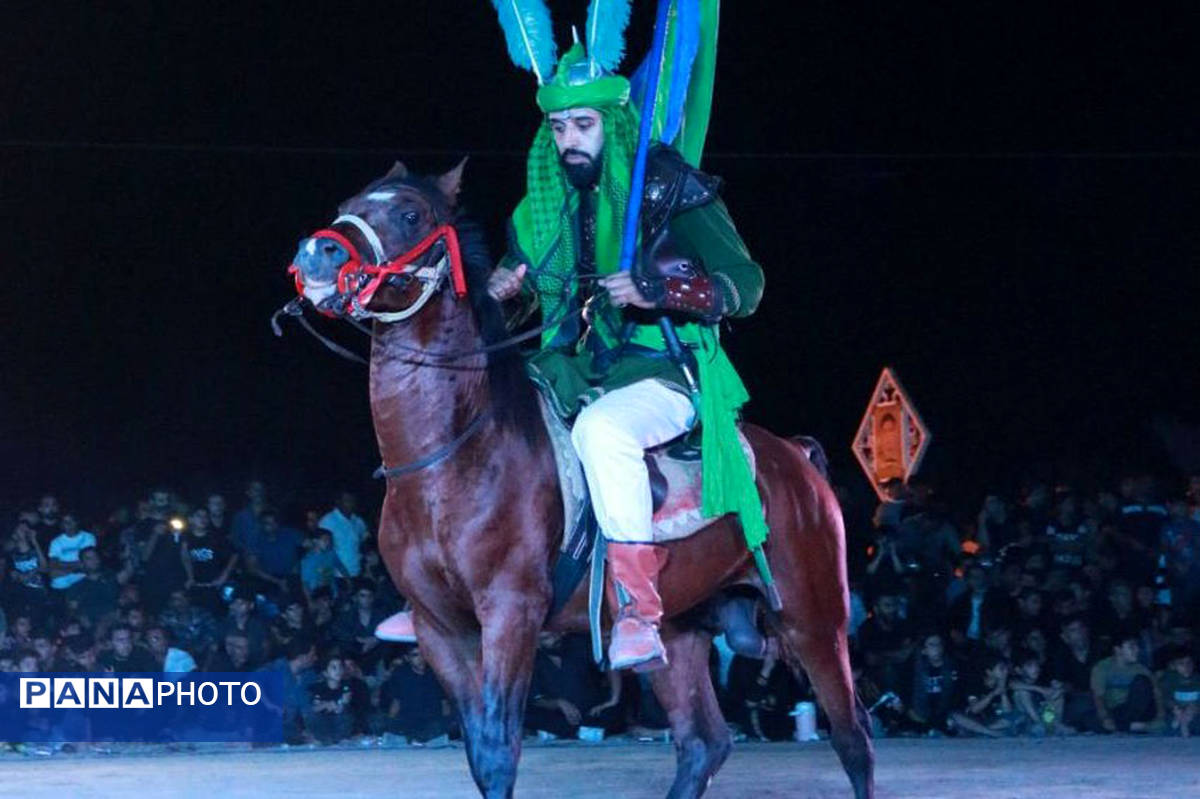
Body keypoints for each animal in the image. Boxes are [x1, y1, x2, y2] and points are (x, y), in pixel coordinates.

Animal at [289, 158, 873, 791]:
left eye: (410, 214)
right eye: (349, 204)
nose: (317, 253)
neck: (448, 462)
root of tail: (796, 458)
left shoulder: (510, 614)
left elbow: (497, 751)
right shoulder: (439, 628)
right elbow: (477, 751)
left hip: (814, 617)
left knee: (852, 738)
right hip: (678, 628)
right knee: (703, 743)